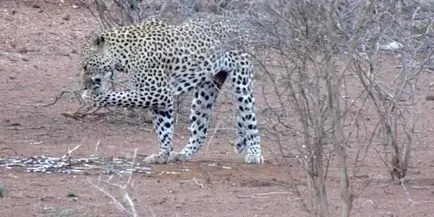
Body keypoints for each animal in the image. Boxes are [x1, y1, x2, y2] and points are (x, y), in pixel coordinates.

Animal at [79, 16, 262, 164]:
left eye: (85, 66)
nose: (85, 84)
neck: (123, 54)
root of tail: (239, 23)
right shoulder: (160, 100)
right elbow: (164, 128)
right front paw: (163, 155)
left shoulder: (156, 93)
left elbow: (117, 96)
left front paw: (88, 96)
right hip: (205, 92)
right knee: (200, 130)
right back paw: (183, 154)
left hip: (241, 82)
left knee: (250, 119)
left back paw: (255, 154)